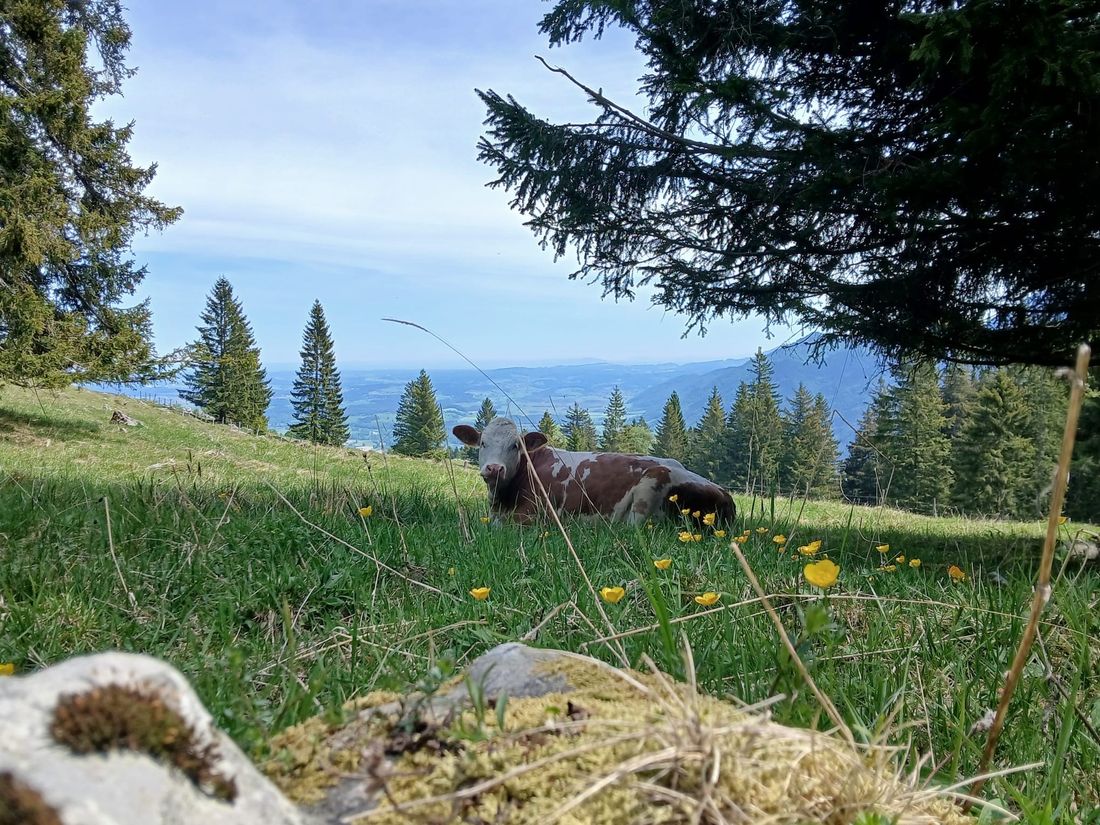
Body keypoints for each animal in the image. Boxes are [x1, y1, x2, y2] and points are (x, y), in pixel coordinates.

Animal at [453, 418, 735, 526]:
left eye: (516, 445)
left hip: (651, 485)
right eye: (482, 443)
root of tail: (726, 496)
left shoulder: (537, 514)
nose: (494, 468)